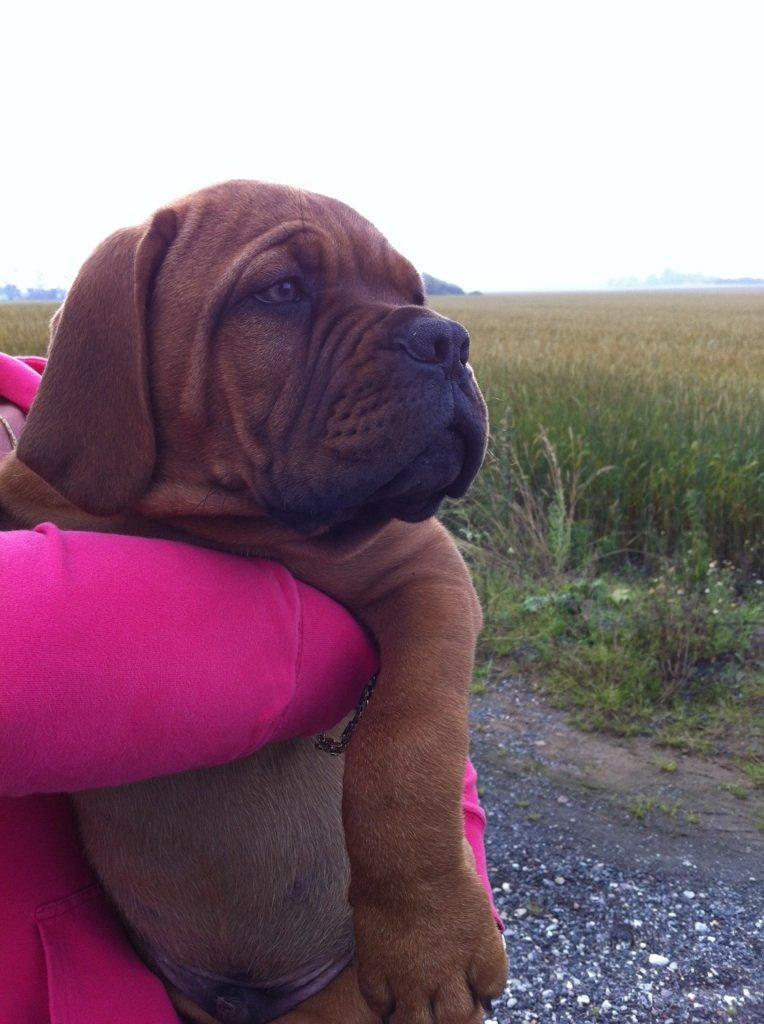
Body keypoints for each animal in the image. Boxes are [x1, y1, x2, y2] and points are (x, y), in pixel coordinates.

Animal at [1, 184, 505, 1024]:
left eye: (414, 296)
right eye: (282, 291)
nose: (447, 339)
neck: (213, 521)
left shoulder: (427, 574)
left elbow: (409, 741)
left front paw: (427, 936)